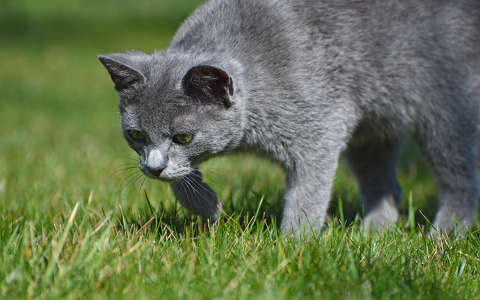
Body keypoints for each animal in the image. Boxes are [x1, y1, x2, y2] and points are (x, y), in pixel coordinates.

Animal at [98, 0, 480, 234]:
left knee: (462, 180)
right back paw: (372, 234)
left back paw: (443, 235)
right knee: (385, 185)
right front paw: (210, 207)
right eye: (137, 135)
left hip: (446, 110)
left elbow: (308, 193)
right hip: (371, 130)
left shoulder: (320, 128)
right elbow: (181, 178)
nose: (153, 168)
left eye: (184, 137)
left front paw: (296, 243)